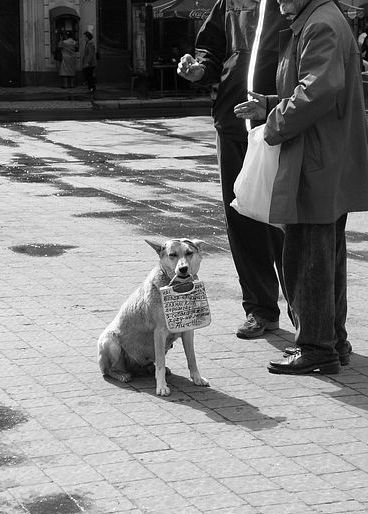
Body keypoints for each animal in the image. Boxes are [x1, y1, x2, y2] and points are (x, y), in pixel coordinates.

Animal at [96, 238, 210, 394]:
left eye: (189, 253)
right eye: (172, 254)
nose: (183, 269)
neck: (179, 288)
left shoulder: (188, 330)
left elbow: (191, 358)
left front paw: (197, 378)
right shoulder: (160, 333)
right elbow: (161, 362)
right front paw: (161, 386)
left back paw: (149, 369)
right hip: (110, 342)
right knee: (108, 370)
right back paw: (122, 375)